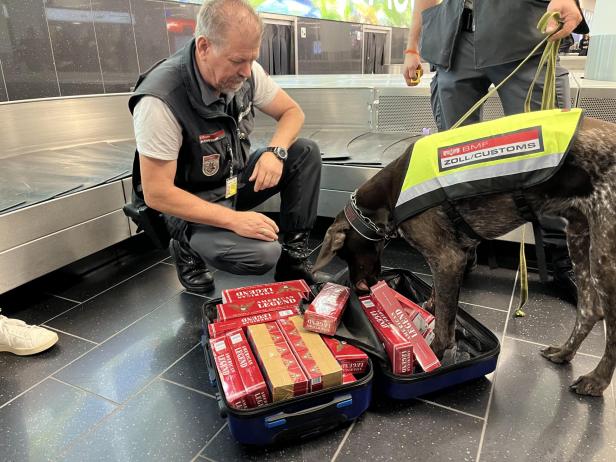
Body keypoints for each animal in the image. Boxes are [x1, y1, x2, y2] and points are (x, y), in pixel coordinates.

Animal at [316, 115, 612, 398]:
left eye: (345, 253)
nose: (361, 287)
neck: (391, 193)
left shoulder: (447, 258)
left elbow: (444, 330)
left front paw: (432, 358)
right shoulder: (452, 256)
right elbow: (439, 300)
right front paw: (429, 307)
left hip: (604, 250)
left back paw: (596, 381)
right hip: (578, 236)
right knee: (590, 309)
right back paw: (564, 352)